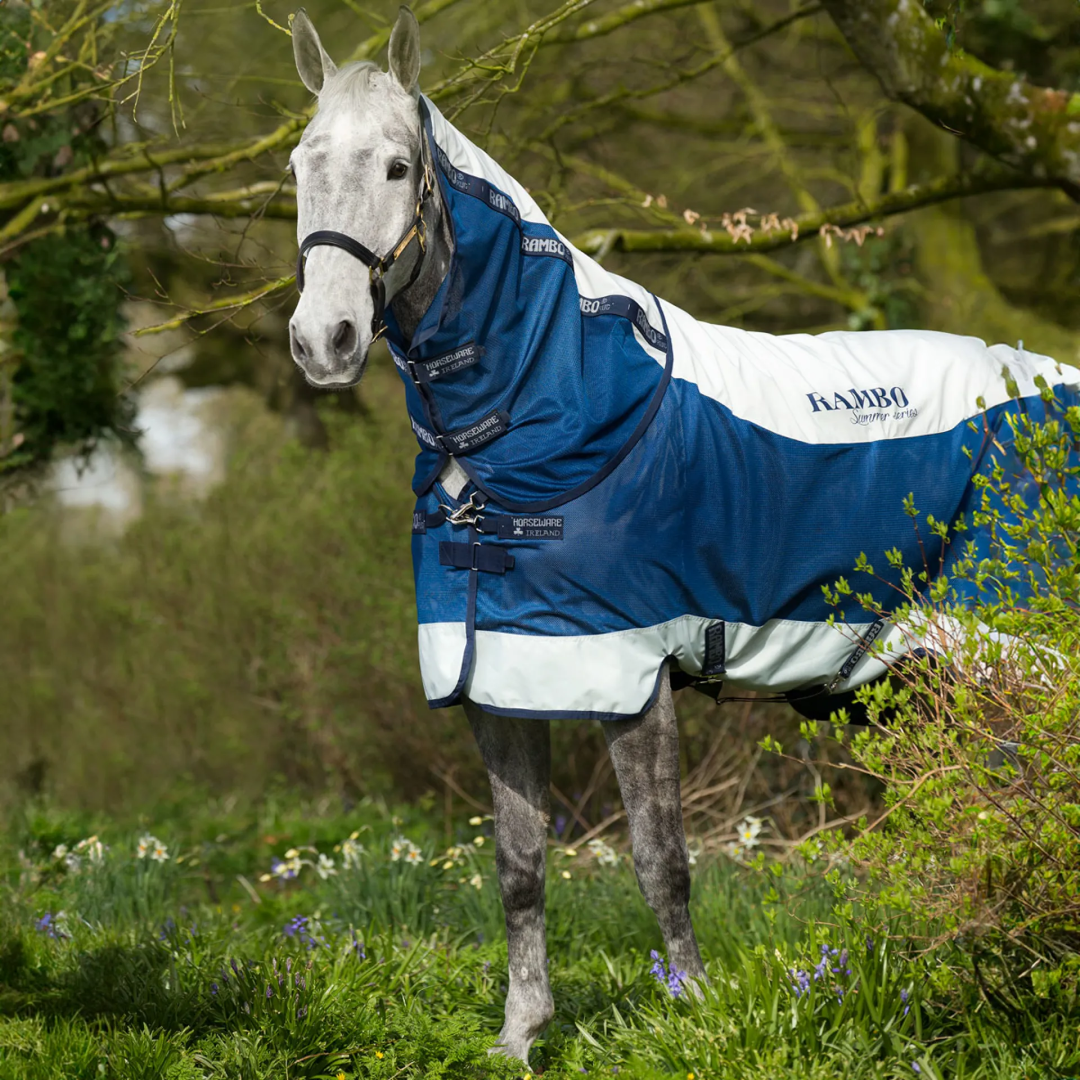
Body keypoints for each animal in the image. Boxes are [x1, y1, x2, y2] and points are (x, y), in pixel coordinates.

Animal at [285, 6, 1080, 1062]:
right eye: (299, 164)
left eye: (397, 167)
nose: (322, 340)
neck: (555, 407)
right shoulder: (496, 674)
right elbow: (519, 865)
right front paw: (520, 1037)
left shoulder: (632, 671)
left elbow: (660, 859)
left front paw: (695, 1016)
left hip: (1014, 655)